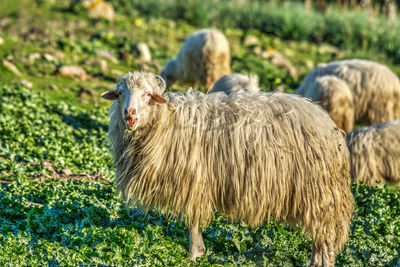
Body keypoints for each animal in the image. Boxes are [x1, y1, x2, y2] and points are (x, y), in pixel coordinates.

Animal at [102, 71, 354, 267]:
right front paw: (199, 252)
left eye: (147, 95)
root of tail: (327, 123)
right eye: (121, 93)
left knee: (325, 237)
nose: (130, 114)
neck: (167, 122)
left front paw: (195, 254)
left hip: (320, 192)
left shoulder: (195, 181)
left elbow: (193, 222)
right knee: (319, 237)